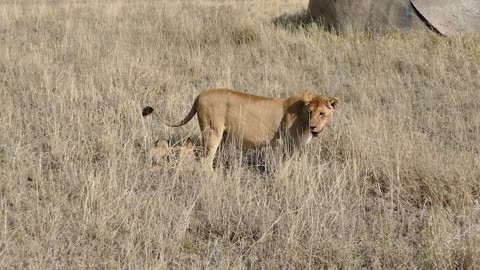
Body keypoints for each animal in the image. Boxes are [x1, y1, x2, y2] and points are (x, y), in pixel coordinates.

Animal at [142, 88, 338, 169]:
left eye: (322, 113)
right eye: (310, 112)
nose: (314, 126)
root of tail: (200, 95)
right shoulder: (287, 144)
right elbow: (284, 167)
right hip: (212, 131)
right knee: (206, 161)